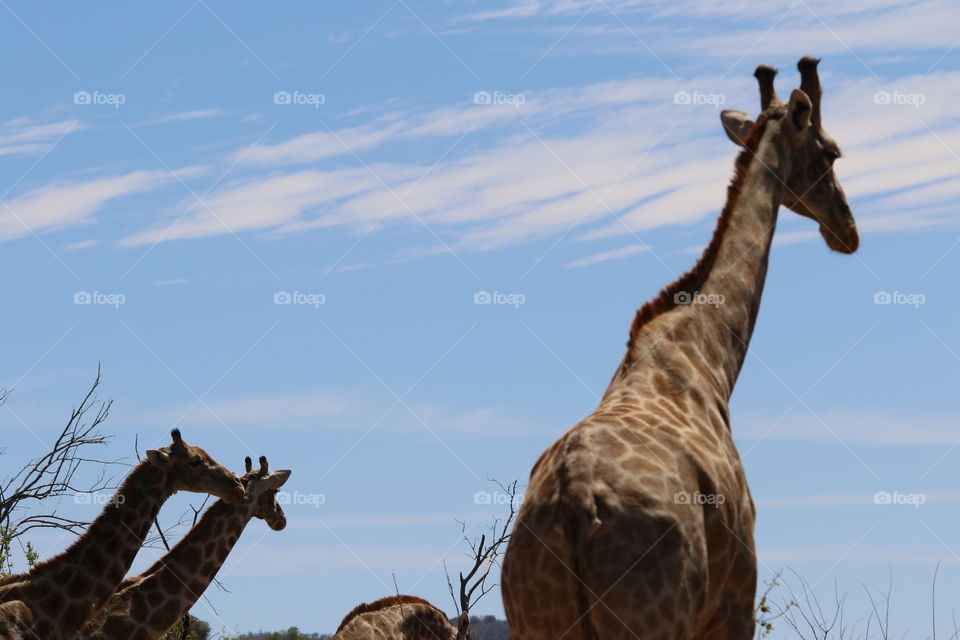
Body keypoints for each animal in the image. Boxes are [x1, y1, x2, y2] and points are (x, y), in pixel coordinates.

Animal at [501, 57, 858, 640]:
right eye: (831, 152)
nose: (847, 229)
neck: (708, 355)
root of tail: (574, 503)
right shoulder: (735, 599)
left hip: (538, 618)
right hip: (656, 616)